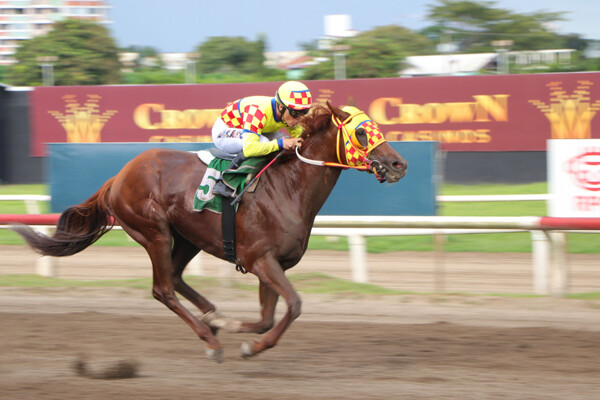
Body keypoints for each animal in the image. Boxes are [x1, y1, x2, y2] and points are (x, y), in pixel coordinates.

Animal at [12, 102, 408, 362]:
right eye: (361, 131)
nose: (398, 164)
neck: (288, 188)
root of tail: (118, 176)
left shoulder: (273, 264)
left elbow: (266, 318)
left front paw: (238, 330)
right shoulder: (260, 259)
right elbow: (294, 305)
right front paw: (250, 345)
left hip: (188, 237)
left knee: (174, 277)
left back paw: (214, 318)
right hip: (154, 232)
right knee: (162, 288)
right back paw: (210, 339)